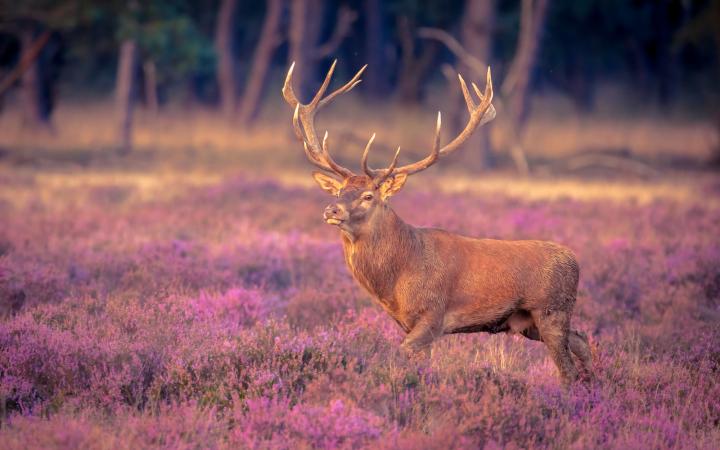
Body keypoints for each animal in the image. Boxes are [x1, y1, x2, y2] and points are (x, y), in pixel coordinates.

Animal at [281, 61, 592, 384]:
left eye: (368, 196)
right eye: (339, 191)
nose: (332, 210)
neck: (398, 278)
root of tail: (574, 260)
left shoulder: (433, 315)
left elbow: (403, 354)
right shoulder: (408, 322)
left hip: (551, 310)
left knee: (567, 368)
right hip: (529, 322)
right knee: (582, 340)